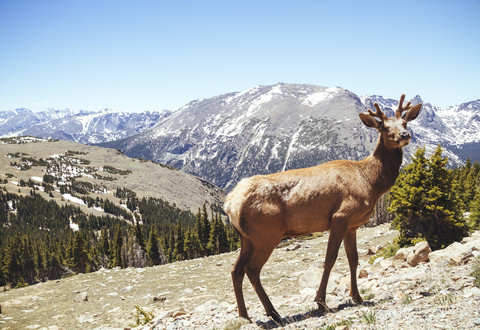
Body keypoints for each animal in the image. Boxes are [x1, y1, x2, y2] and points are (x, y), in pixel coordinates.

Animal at [224, 94, 420, 320]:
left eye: (404, 122)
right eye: (385, 127)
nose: (405, 135)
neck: (369, 181)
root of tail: (231, 203)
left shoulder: (352, 225)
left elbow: (353, 259)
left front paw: (357, 296)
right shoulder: (340, 216)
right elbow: (330, 259)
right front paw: (321, 302)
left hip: (247, 237)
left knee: (236, 269)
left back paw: (245, 315)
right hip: (267, 233)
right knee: (252, 269)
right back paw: (273, 313)